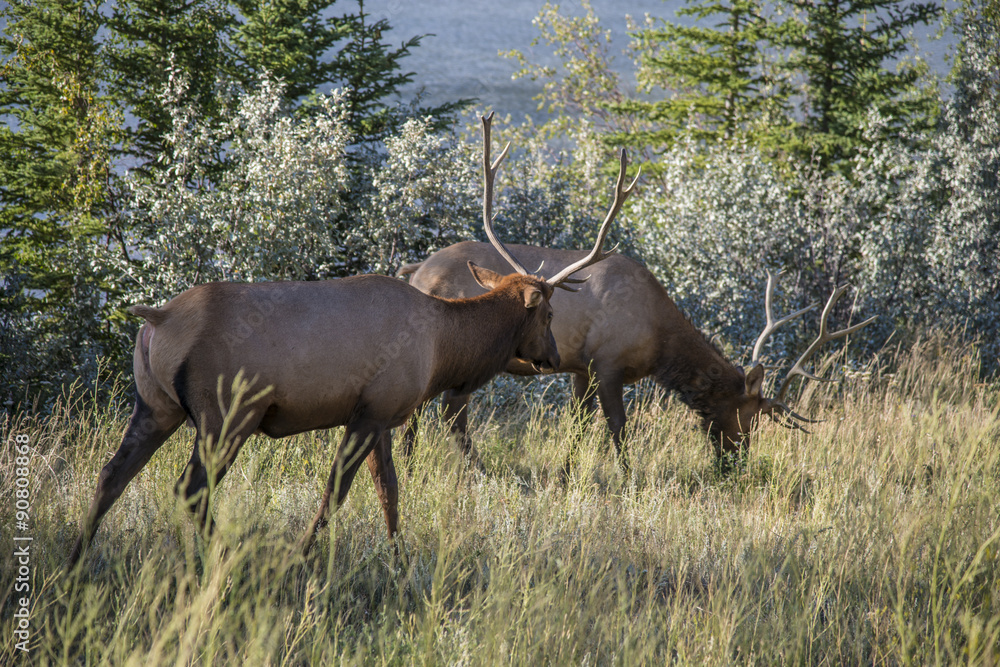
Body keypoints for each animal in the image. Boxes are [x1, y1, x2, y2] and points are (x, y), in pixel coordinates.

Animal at [68, 113, 632, 568]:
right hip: (225, 411)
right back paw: (224, 559)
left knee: (110, 475)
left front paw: (399, 555)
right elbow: (336, 492)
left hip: (154, 403)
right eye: (549, 312)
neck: (442, 351)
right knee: (190, 489)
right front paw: (302, 556)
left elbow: (390, 491)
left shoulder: (381, 411)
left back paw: (74, 563)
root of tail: (156, 319)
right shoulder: (372, 407)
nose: (552, 356)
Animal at [400, 238, 875, 471]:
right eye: (751, 417)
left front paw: (566, 475)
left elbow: (578, 427)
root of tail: (416, 271)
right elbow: (618, 430)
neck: (659, 345)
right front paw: (629, 478)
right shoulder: (607, 366)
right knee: (447, 412)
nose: (737, 462)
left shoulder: (580, 369)